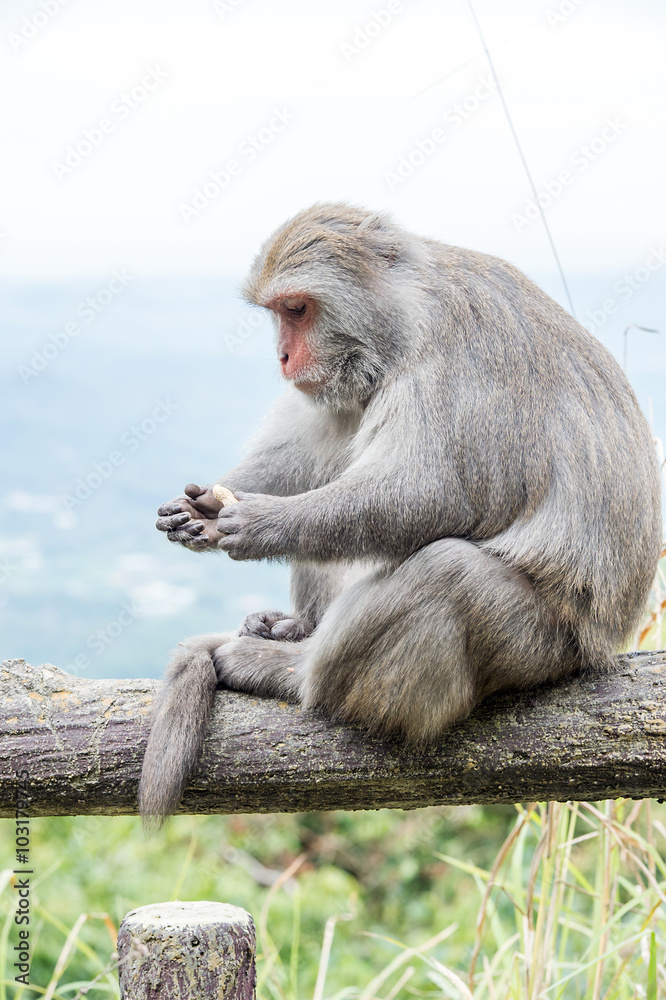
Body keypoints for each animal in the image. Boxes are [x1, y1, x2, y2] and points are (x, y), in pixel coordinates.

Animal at [137, 201, 660, 820]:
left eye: (297, 309)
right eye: (279, 313)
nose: (284, 357)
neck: (408, 318)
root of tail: (600, 649)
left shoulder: (459, 358)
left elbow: (433, 494)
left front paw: (264, 523)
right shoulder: (355, 370)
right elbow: (321, 448)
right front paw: (200, 509)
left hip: (542, 644)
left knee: (447, 572)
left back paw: (293, 674)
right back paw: (296, 628)